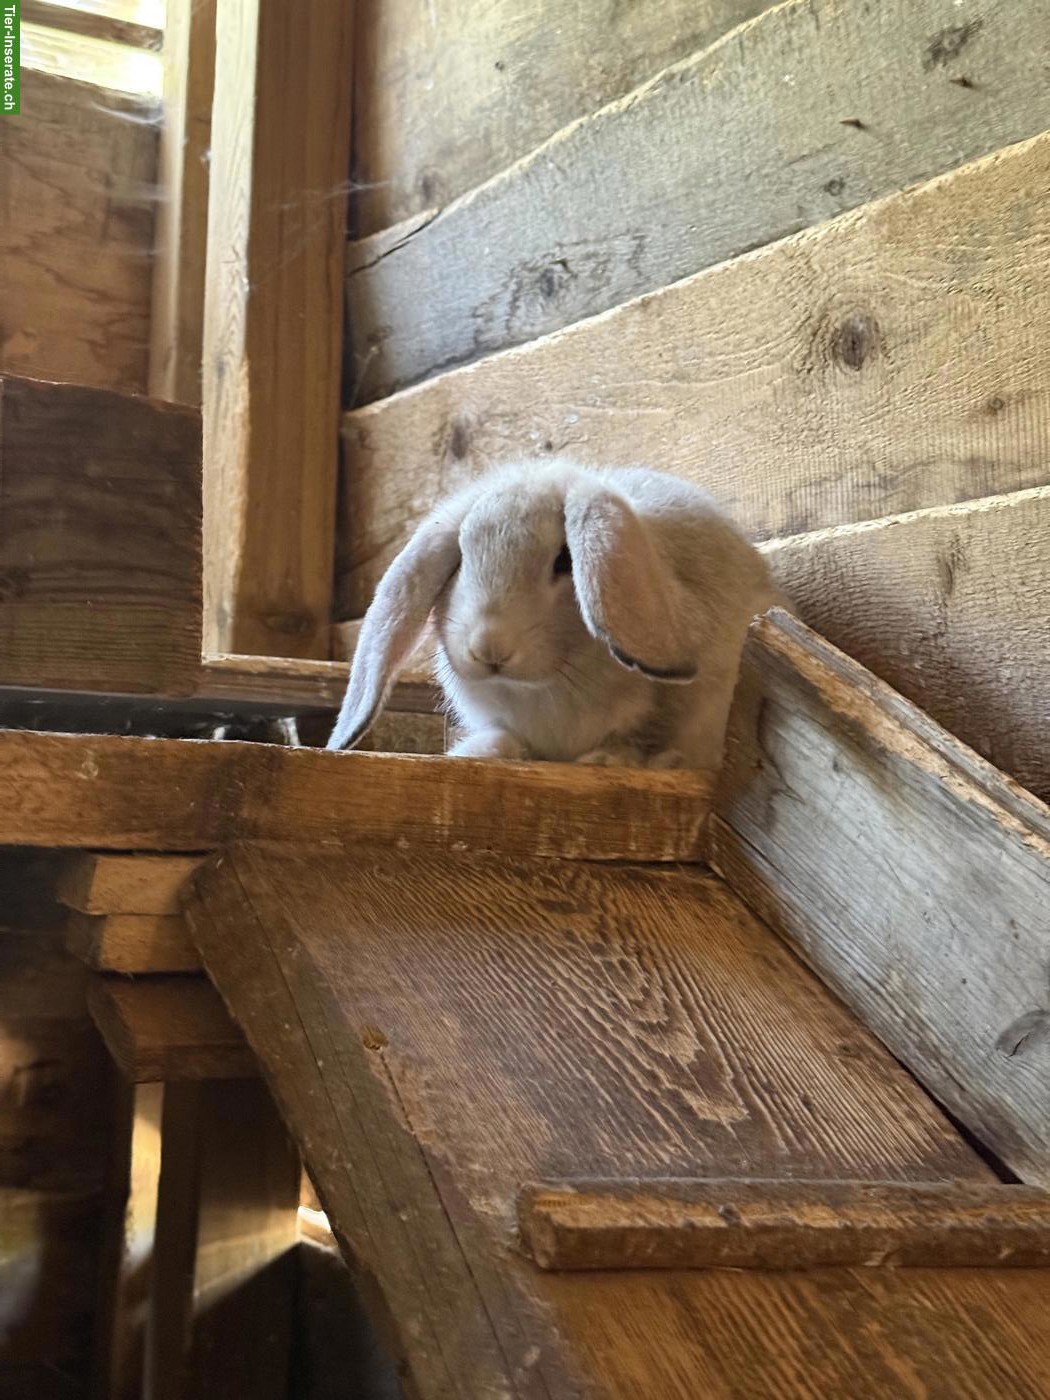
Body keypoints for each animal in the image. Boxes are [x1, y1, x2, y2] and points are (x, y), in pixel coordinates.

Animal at [327, 459, 777, 769]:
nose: (489, 648)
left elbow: (648, 739)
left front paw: (612, 760)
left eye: (565, 561)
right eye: (460, 560)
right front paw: (482, 752)